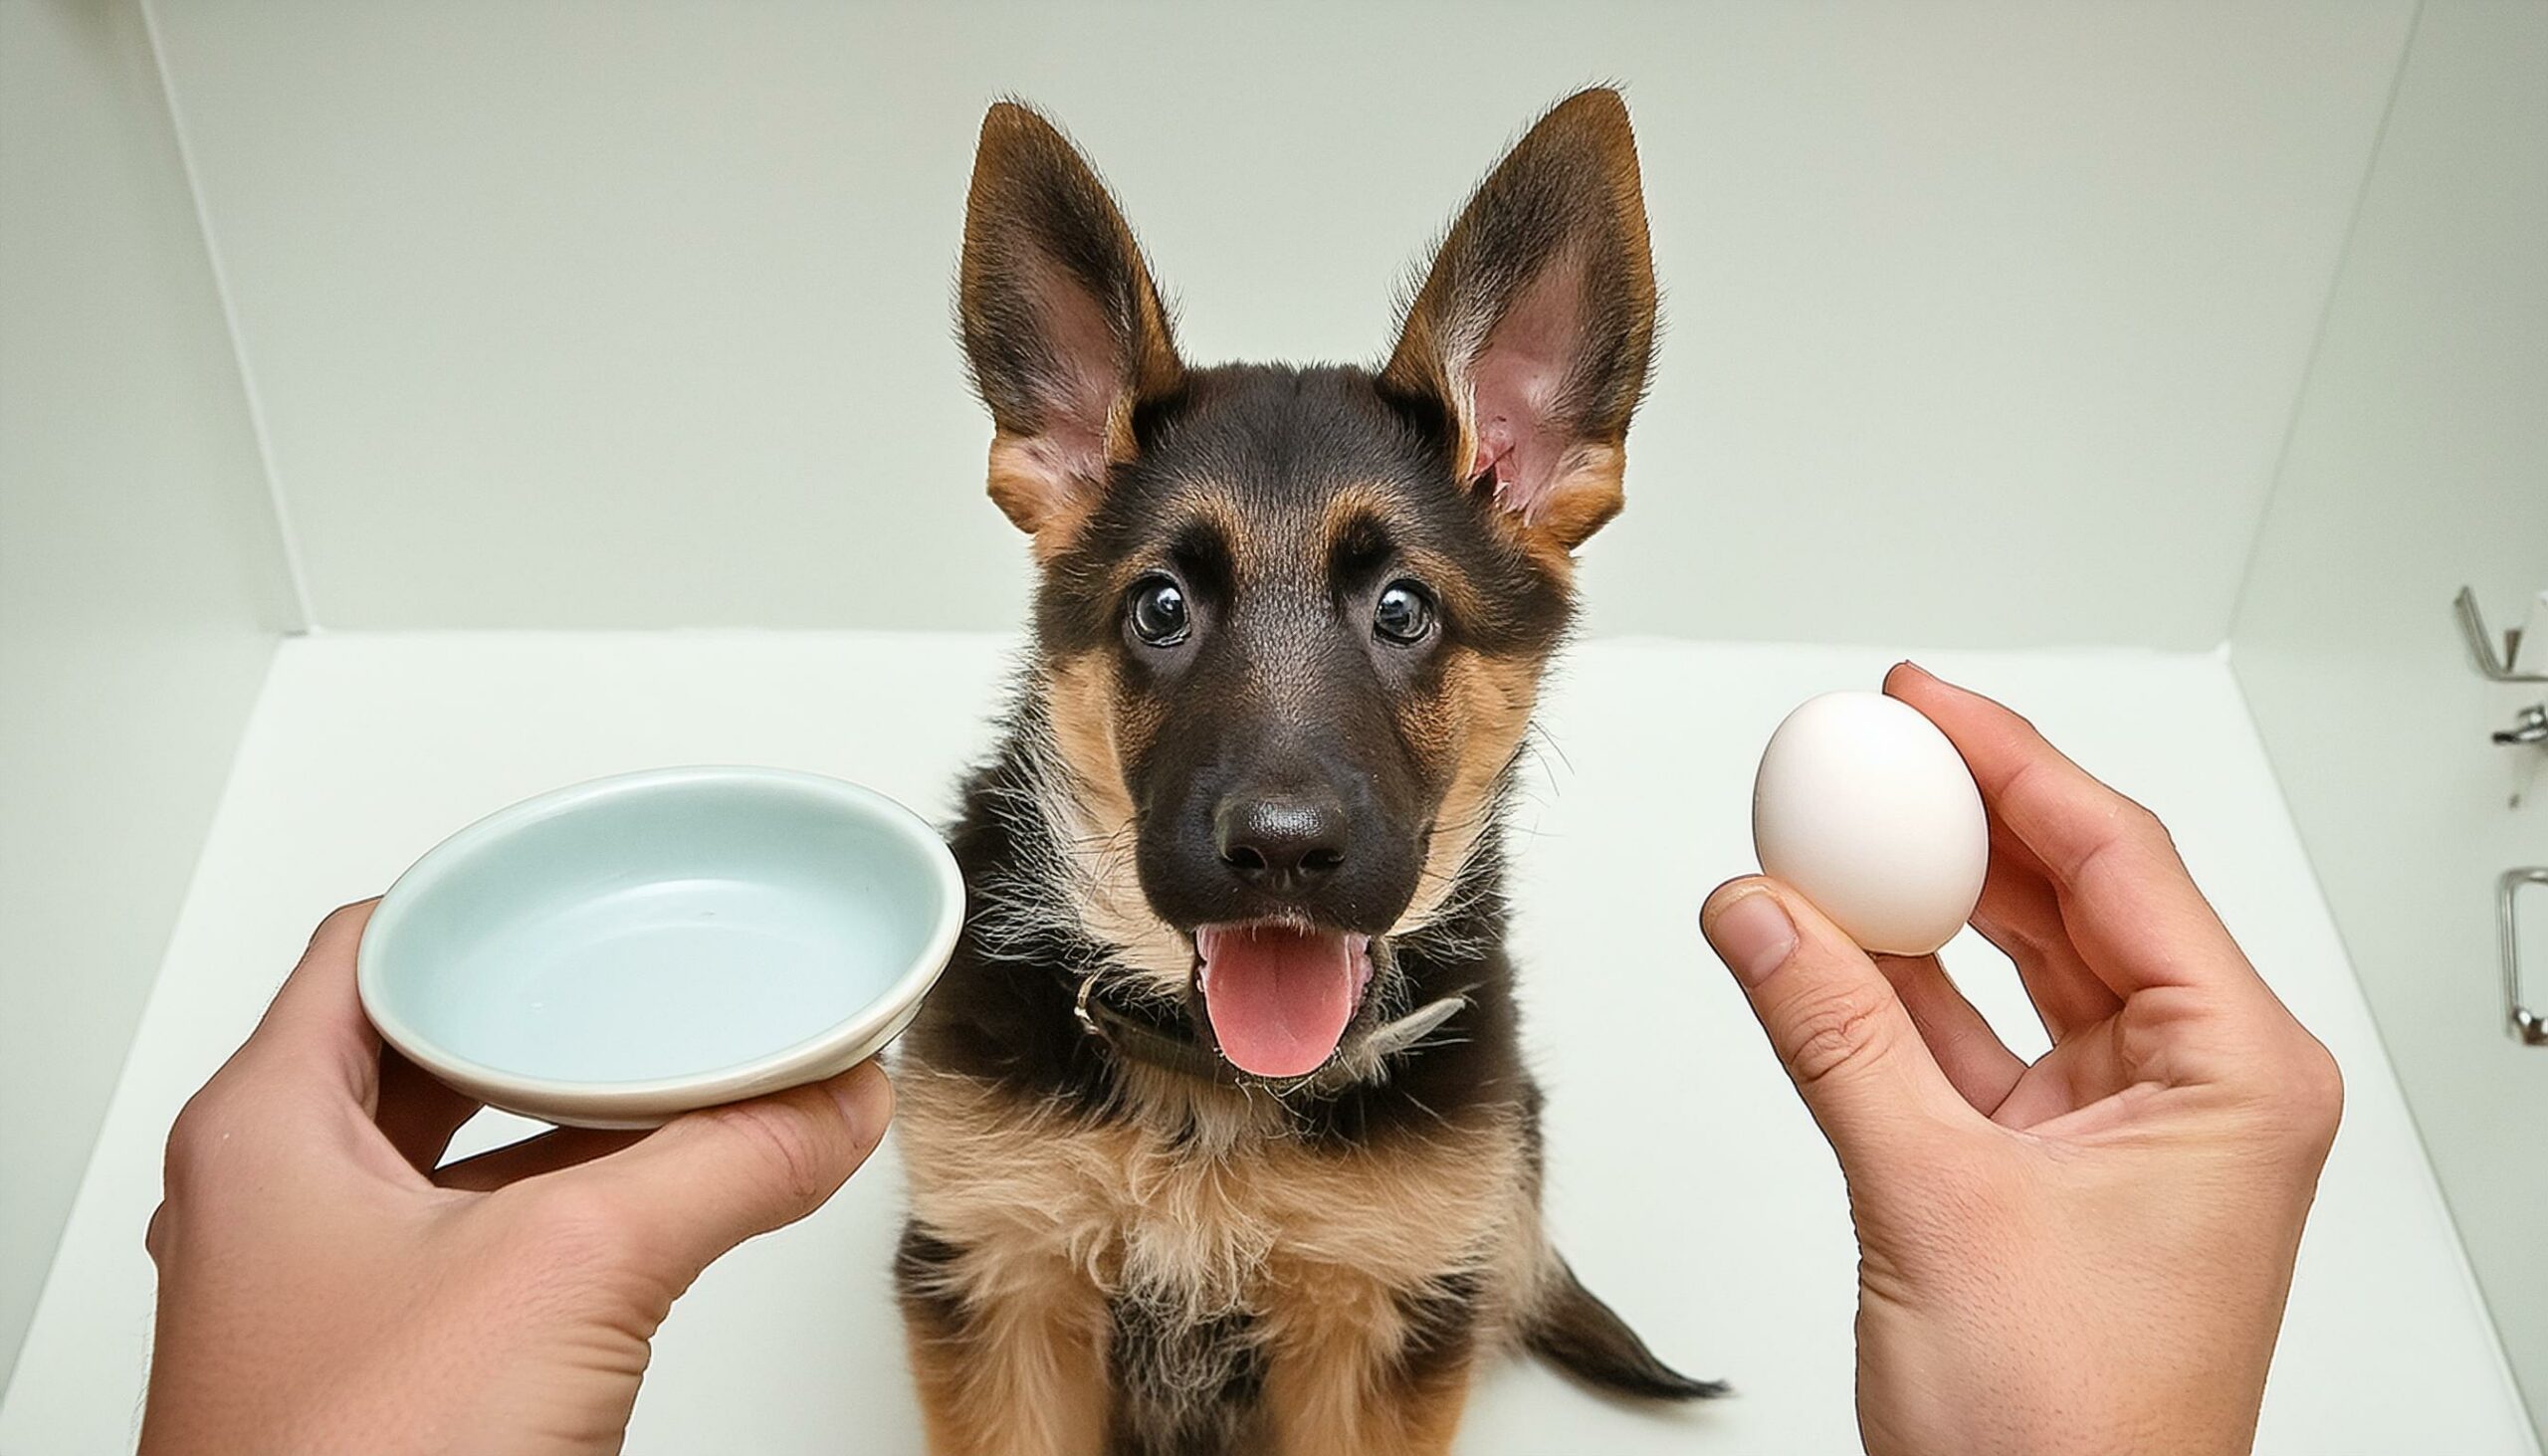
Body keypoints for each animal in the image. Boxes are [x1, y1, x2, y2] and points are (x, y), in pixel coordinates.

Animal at [892, 85, 1712, 1448]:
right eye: (1161, 608)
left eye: (1403, 610)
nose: (1280, 849)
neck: (1212, 1094)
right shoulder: (1003, 1277)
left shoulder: (1377, 1306)